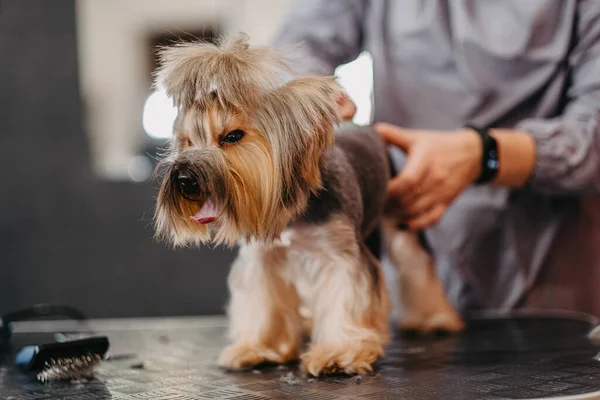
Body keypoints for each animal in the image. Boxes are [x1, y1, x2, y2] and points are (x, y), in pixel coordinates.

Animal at [152, 33, 462, 376]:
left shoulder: (342, 255)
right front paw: (259, 348)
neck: (293, 212)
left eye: (232, 136)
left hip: (399, 212)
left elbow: (347, 295)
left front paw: (339, 353)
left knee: (414, 259)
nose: (184, 178)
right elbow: (262, 303)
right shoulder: (263, 259)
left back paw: (434, 319)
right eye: (187, 142)